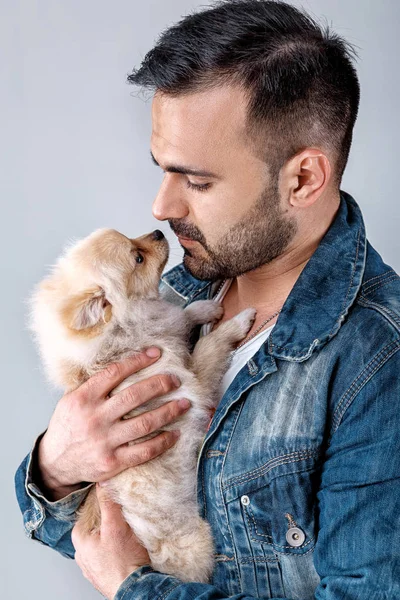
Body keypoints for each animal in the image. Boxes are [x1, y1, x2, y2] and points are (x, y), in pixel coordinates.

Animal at [29, 227, 258, 584]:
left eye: (136, 241)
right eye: (137, 258)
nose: (159, 231)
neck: (120, 342)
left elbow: (181, 317)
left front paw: (204, 309)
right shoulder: (191, 385)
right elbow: (209, 344)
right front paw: (236, 322)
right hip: (196, 543)